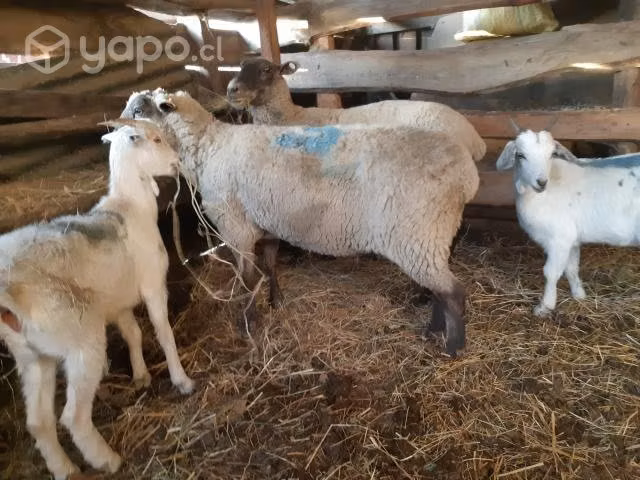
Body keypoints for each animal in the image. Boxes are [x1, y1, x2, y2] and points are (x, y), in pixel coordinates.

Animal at [0, 119, 194, 480]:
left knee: (38, 423)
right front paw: (181, 380)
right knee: (73, 416)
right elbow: (162, 331)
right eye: (156, 139)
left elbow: (133, 333)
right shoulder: (152, 285)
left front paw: (141, 375)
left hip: (31, 354)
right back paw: (106, 459)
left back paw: (65, 469)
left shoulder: (117, 303)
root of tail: (6, 293)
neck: (130, 207)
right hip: (79, 335)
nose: (178, 162)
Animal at [121, 89, 480, 356]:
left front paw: (249, 323)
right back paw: (433, 330)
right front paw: (276, 302)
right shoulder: (264, 220)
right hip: (429, 237)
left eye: (138, 111)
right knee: (440, 290)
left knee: (453, 292)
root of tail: (467, 174)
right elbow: (269, 264)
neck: (207, 147)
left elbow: (247, 278)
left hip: (415, 235)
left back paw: (452, 347)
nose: (114, 136)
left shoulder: (235, 226)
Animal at [496, 127, 640, 316]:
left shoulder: (559, 238)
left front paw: (545, 307)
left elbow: (551, 272)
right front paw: (579, 295)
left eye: (551, 154)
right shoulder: (571, 239)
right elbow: (571, 269)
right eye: (520, 155)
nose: (541, 182)